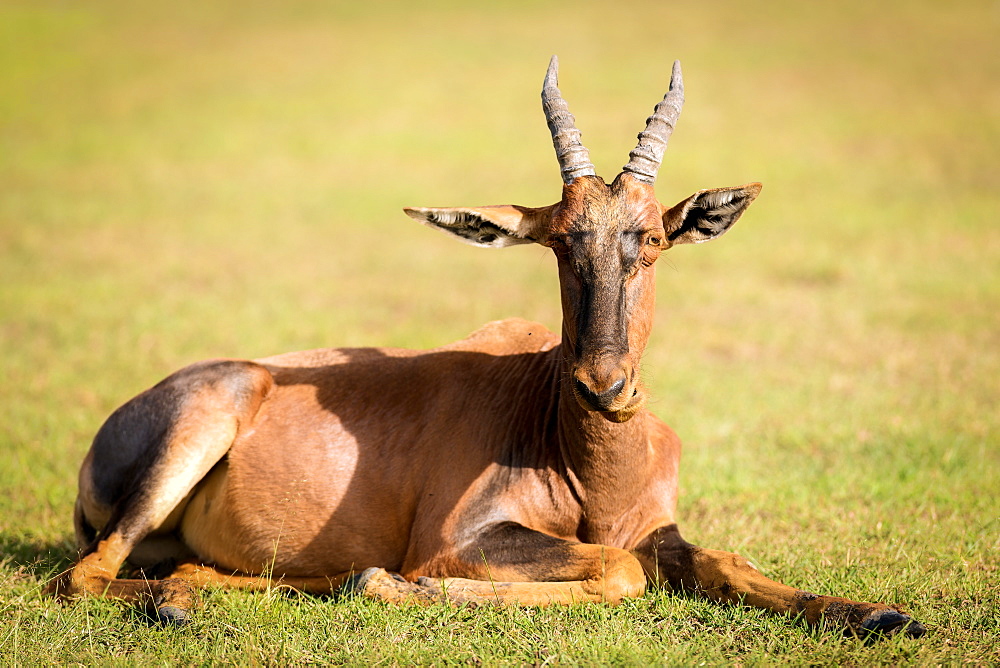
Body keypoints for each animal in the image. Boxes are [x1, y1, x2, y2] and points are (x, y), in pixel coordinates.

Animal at [47, 58, 920, 640]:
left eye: (652, 238)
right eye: (560, 241)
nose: (607, 386)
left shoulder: (657, 528)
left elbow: (721, 561)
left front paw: (880, 614)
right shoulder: (459, 540)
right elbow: (617, 569)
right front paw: (407, 591)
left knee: (201, 571)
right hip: (191, 437)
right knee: (85, 574)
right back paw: (194, 603)